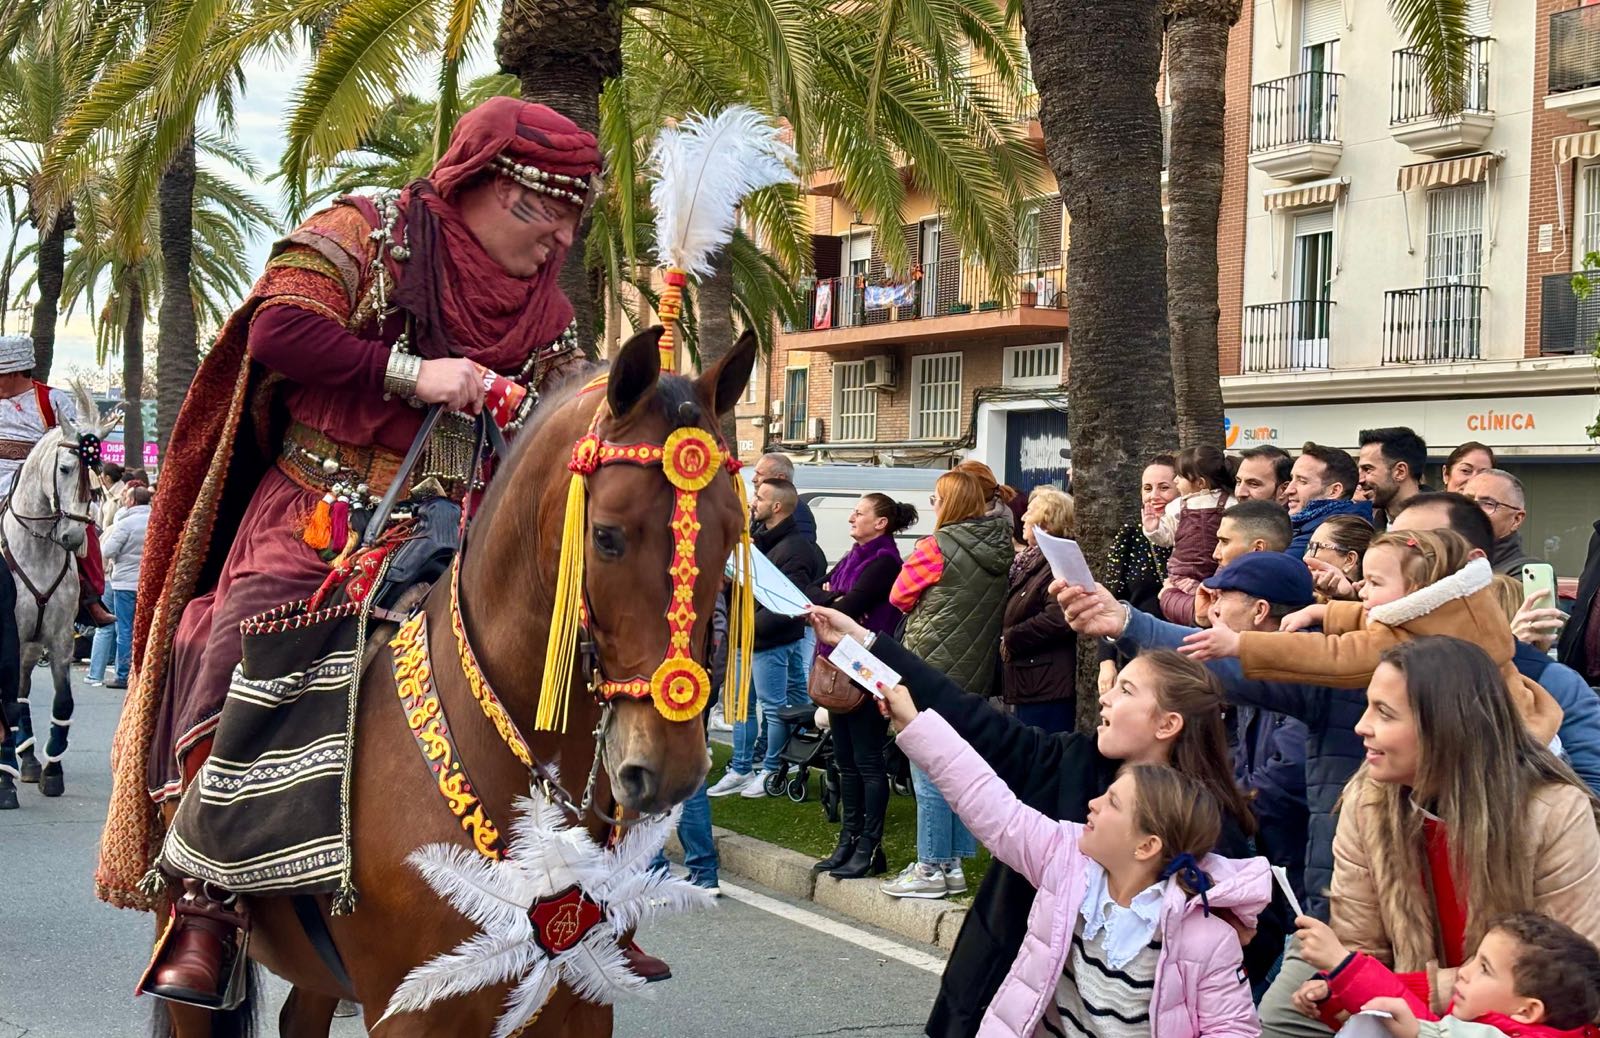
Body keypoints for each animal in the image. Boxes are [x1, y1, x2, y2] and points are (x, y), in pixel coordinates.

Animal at [0, 387, 120, 802]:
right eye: (66, 468)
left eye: (95, 470)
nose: (73, 537)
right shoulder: (12, 637)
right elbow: (8, 702)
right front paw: (6, 782)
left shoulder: (58, 639)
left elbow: (62, 701)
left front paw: (52, 769)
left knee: (22, 693)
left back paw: (29, 760)